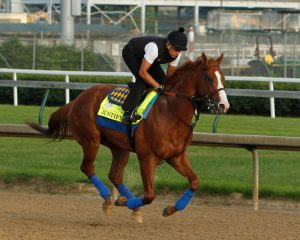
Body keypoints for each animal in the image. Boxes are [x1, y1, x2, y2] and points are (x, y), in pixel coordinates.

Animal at [27, 52, 230, 221]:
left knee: (115, 175)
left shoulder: (176, 157)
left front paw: (169, 209)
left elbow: (194, 182)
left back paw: (131, 206)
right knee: (88, 168)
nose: (224, 105)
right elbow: (149, 195)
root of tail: (77, 100)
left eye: (223, 78)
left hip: (120, 148)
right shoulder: (146, 157)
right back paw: (110, 200)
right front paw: (123, 202)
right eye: (210, 78)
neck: (171, 112)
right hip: (90, 140)